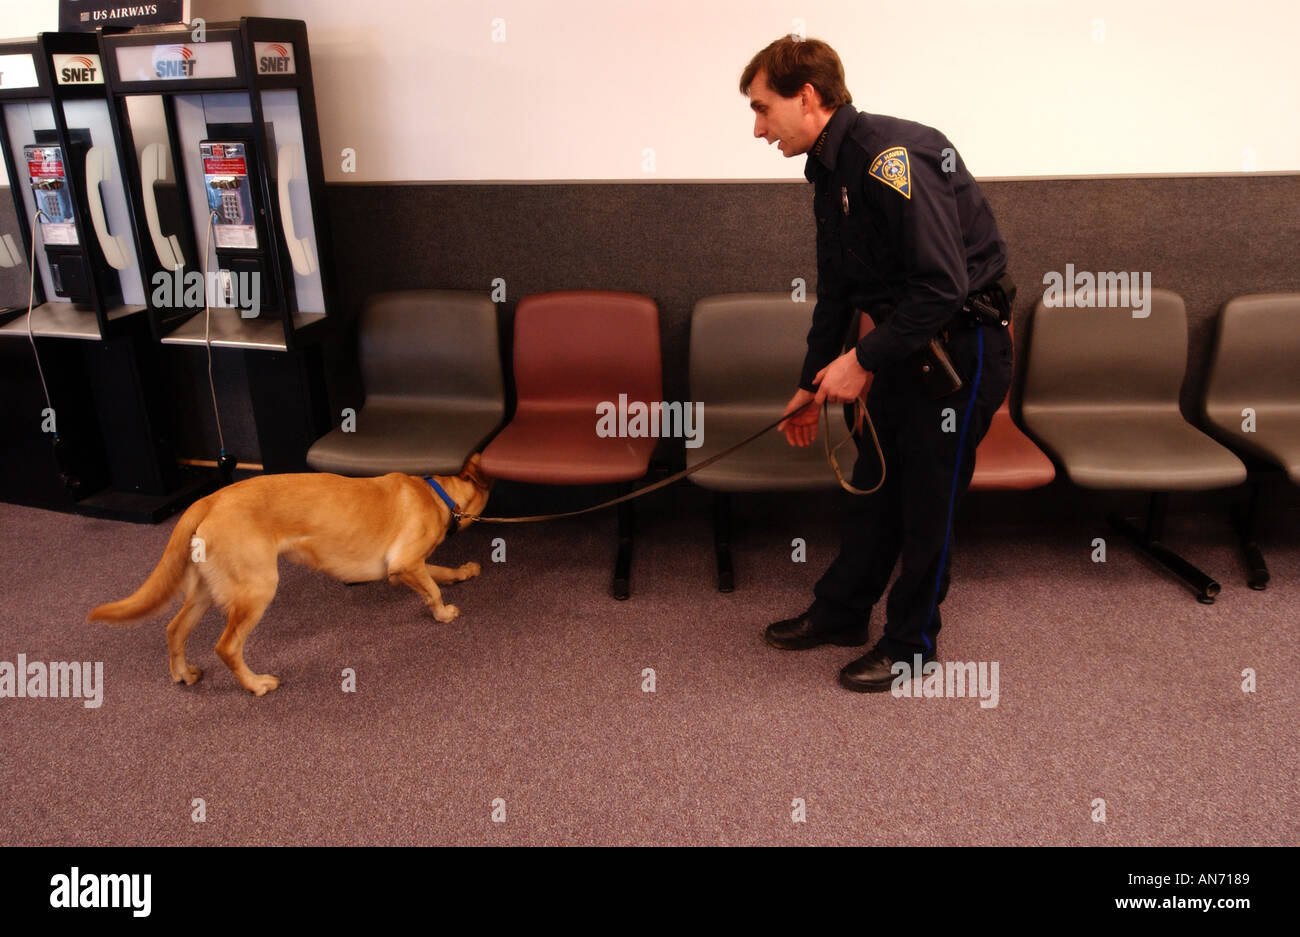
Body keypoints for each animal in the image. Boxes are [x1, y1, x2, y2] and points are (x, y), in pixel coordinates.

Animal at [86, 452, 491, 696]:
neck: (436, 493)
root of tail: (209, 499)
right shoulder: (403, 564)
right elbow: (432, 588)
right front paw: (444, 613)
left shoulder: (413, 564)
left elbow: (440, 572)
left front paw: (463, 571)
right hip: (257, 588)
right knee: (226, 646)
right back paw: (256, 684)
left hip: (207, 588)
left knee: (174, 629)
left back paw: (182, 674)